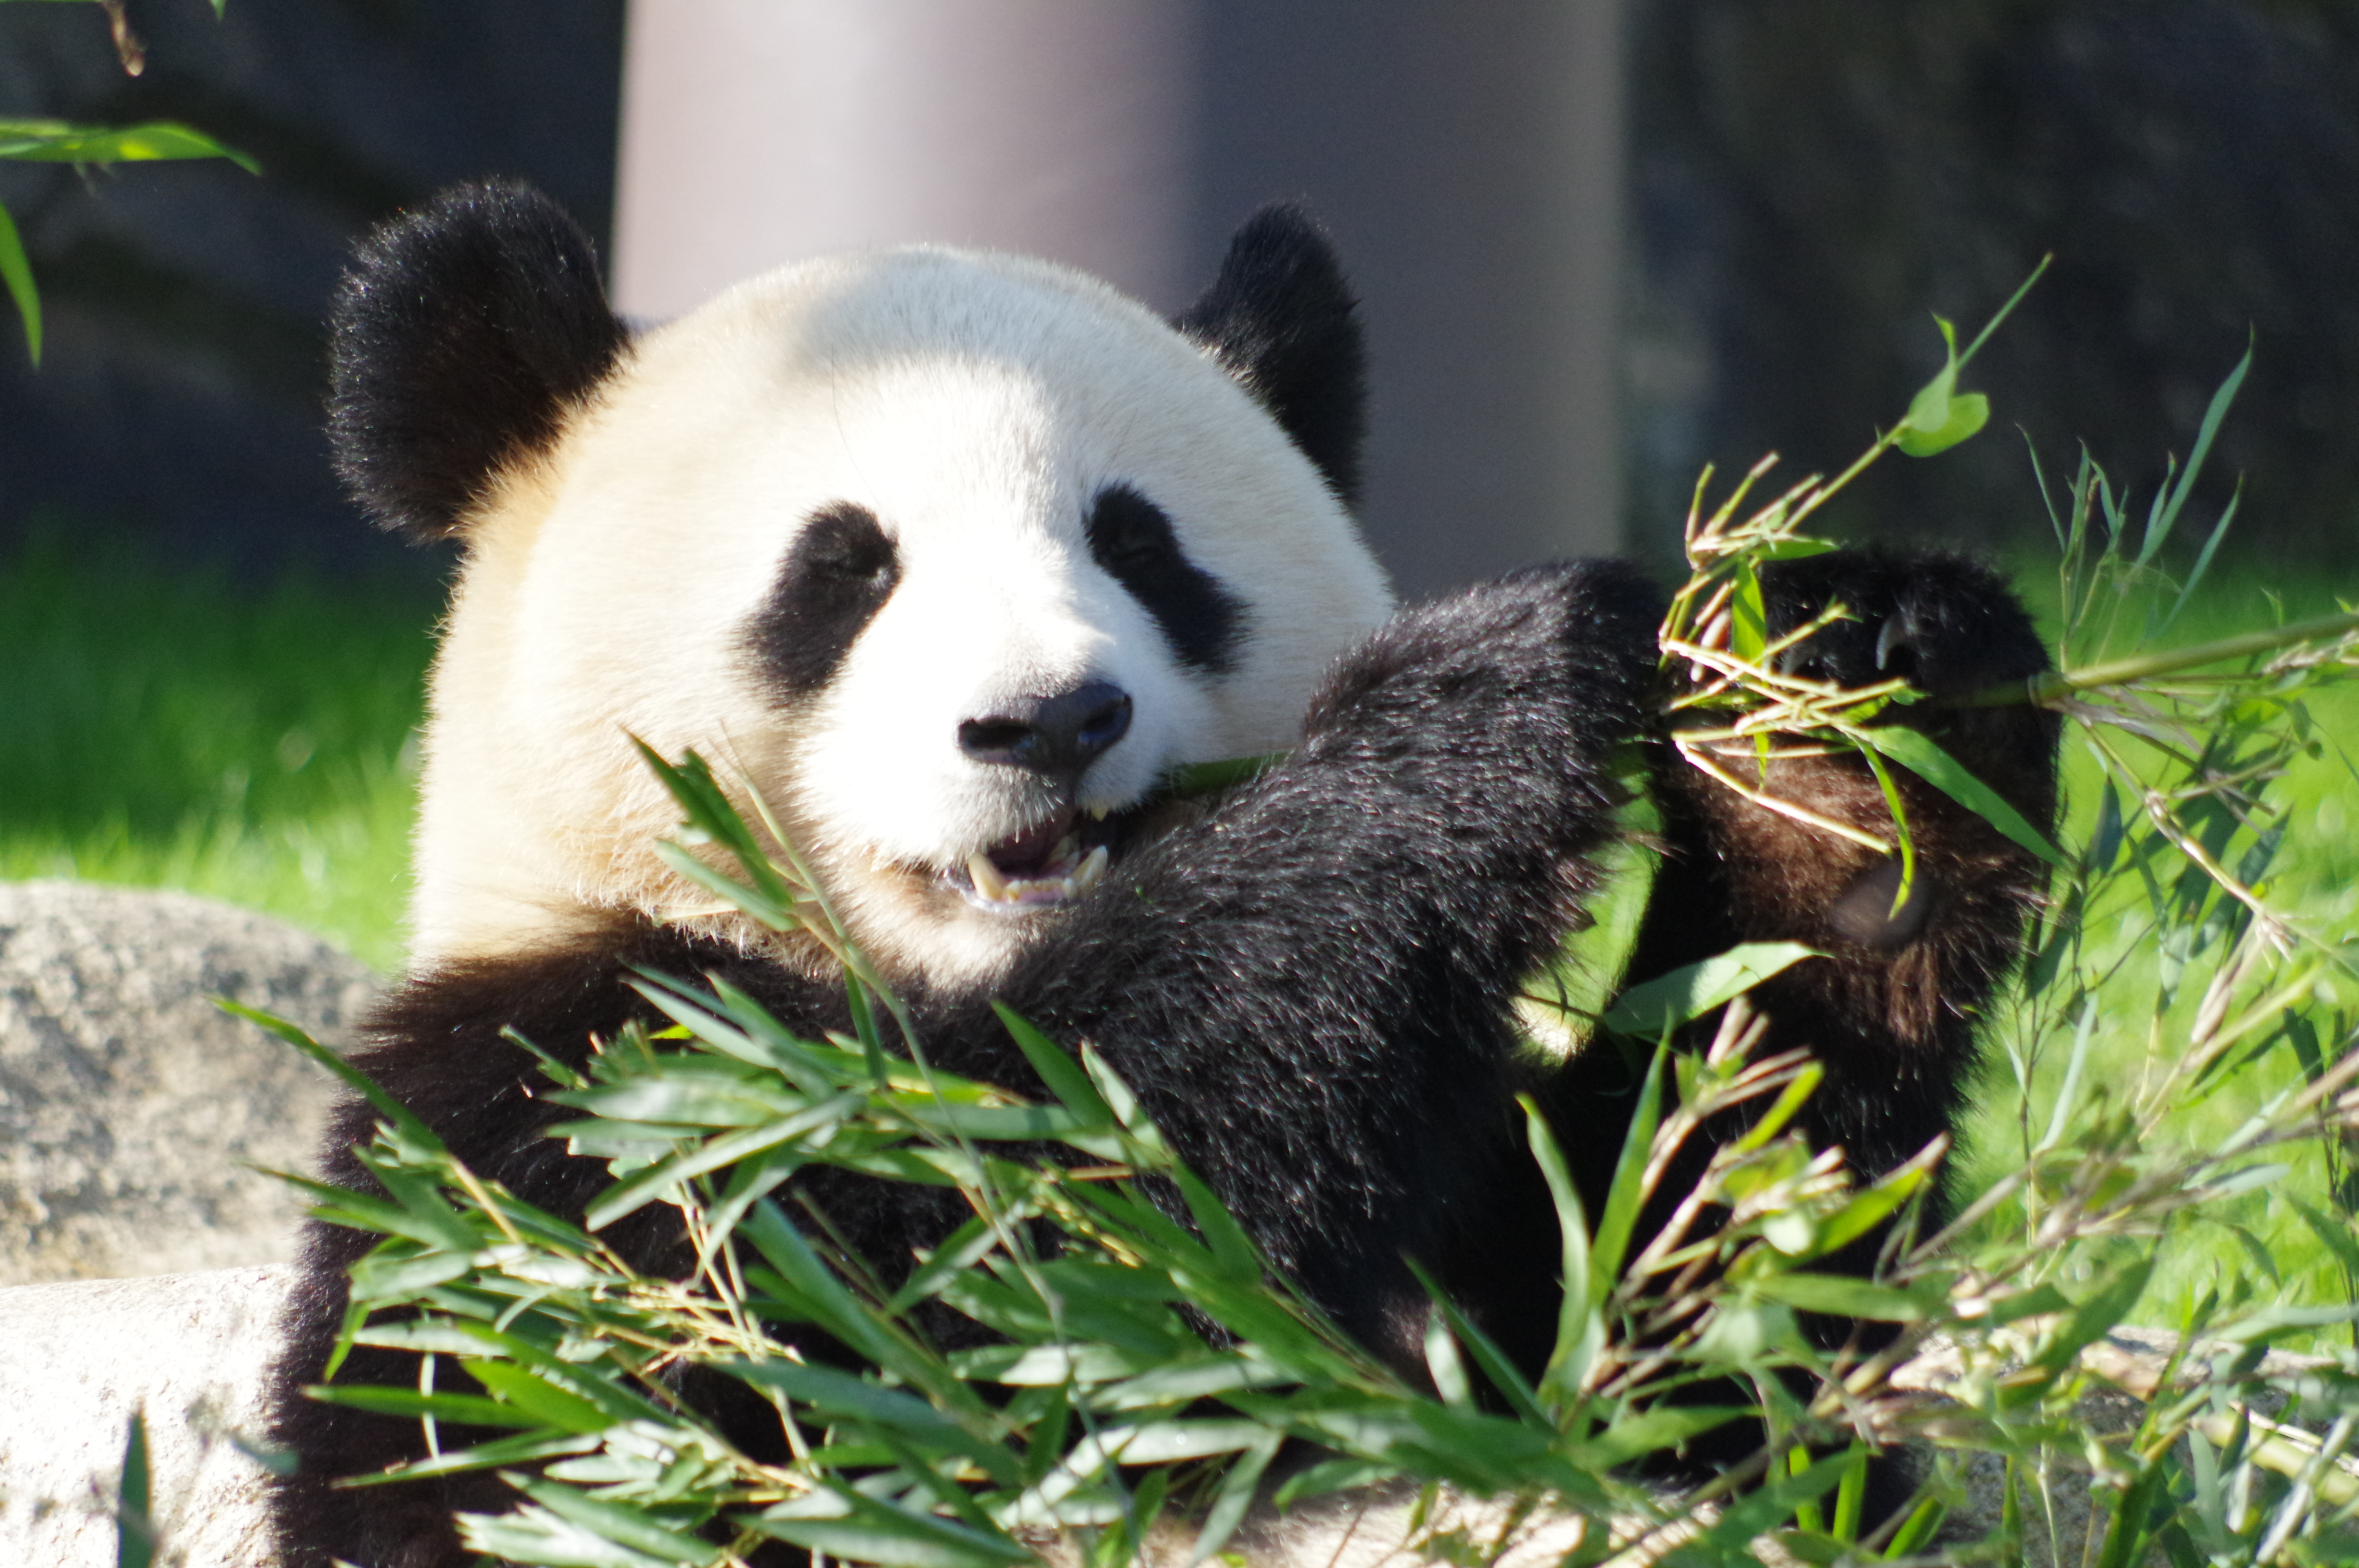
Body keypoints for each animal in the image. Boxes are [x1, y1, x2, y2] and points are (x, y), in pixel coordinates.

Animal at [263, 177, 2066, 1556]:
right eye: (843, 570)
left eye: (1139, 545)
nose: (1048, 722)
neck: (944, 988)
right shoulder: (575, 1100)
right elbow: (922, 1290)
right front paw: (1466, 714)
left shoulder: (1474, 1219)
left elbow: (1703, 1303)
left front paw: (1836, 754)